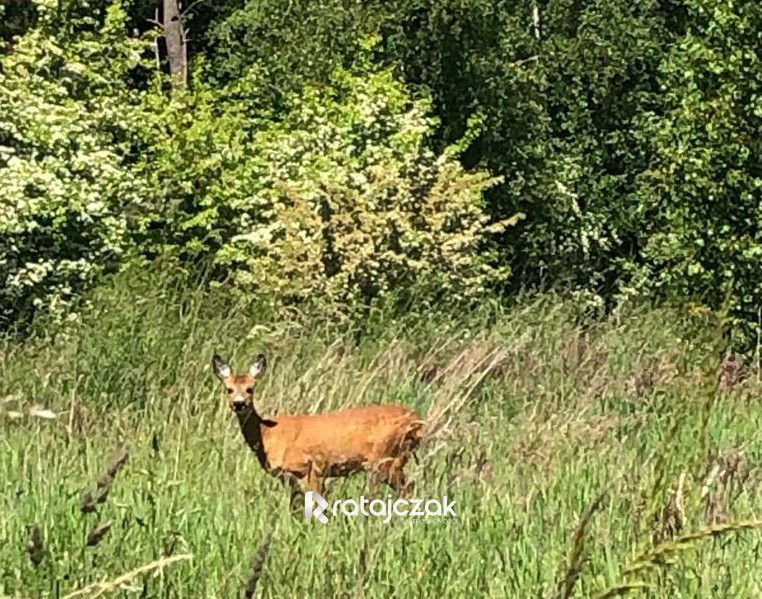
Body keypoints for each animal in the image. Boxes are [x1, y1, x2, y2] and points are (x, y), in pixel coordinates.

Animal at [211, 354, 424, 500]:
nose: (239, 404)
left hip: (384, 458)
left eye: (250, 389)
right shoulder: (287, 477)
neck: (268, 434)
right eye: (229, 389)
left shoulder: (311, 468)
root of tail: (417, 421)